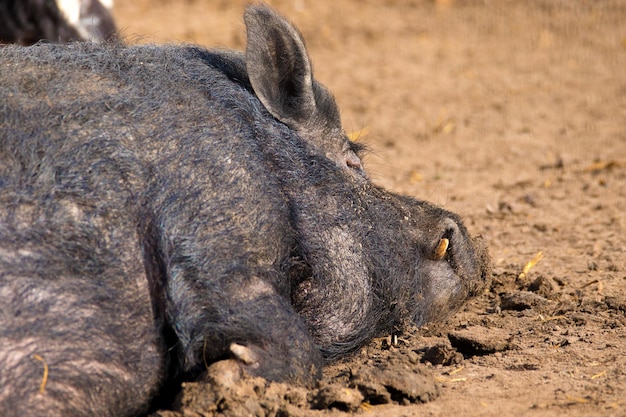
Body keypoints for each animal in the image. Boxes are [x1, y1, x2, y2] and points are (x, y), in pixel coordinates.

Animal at [0, 4, 488, 416]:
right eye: (354, 164)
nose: (470, 241)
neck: (265, 155)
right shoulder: (214, 219)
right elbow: (289, 345)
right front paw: (224, 377)